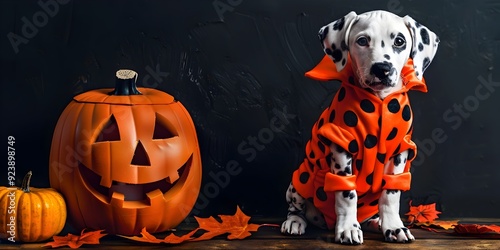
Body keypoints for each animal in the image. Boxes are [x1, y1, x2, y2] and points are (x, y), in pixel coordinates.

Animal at [282, 10, 438, 244]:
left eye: (399, 41)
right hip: (301, 179)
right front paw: (348, 228)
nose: (382, 68)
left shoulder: (400, 151)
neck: (379, 102)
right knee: (296, 207)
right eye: (362, 41)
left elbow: (391, 194)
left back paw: (376, 222)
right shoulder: (341, 145)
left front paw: (394, 227)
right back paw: (295, 222)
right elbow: (347, 194)